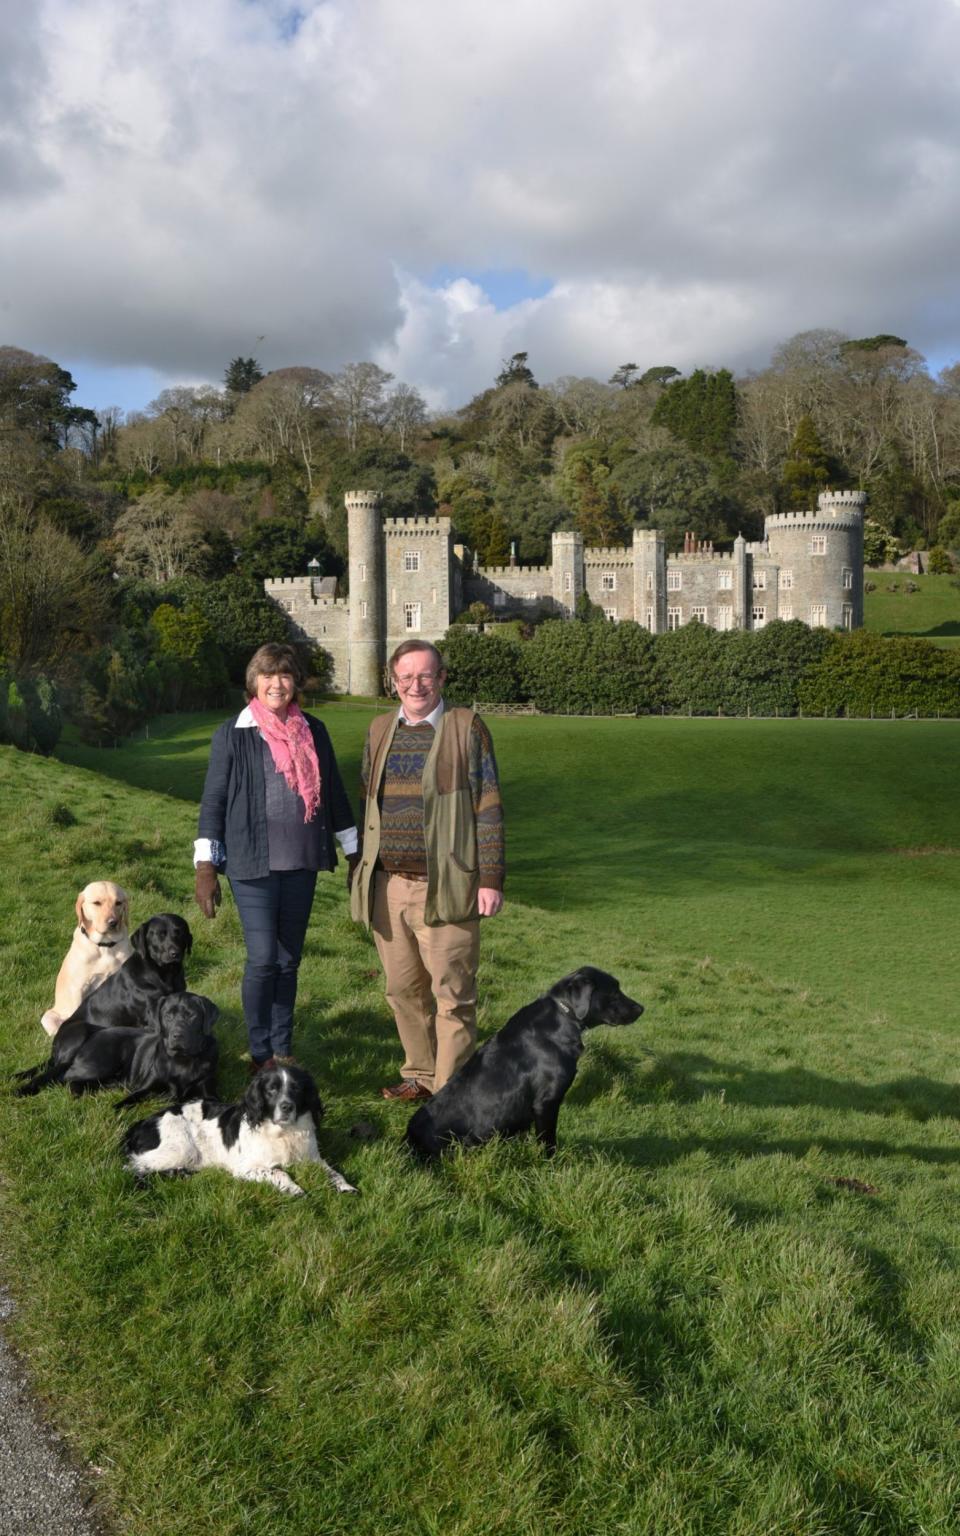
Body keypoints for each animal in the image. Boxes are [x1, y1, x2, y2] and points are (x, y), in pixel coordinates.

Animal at [14, 989, 218, 1112]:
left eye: (192, 1015)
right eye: (168, 1015)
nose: (177, 1035)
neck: (181, 1061)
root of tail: (96, 1031)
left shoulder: (209, 1093)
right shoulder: (146, 1087)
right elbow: (127, 1101)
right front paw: (114, 1112)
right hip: (102, 1063)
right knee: (64, 1077)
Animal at [405, 964, 645, 1155]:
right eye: (614, 991)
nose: (642, 1008)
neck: (562, 1017)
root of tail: (408, 1138)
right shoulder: (546, 1102)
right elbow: (548, 1142)